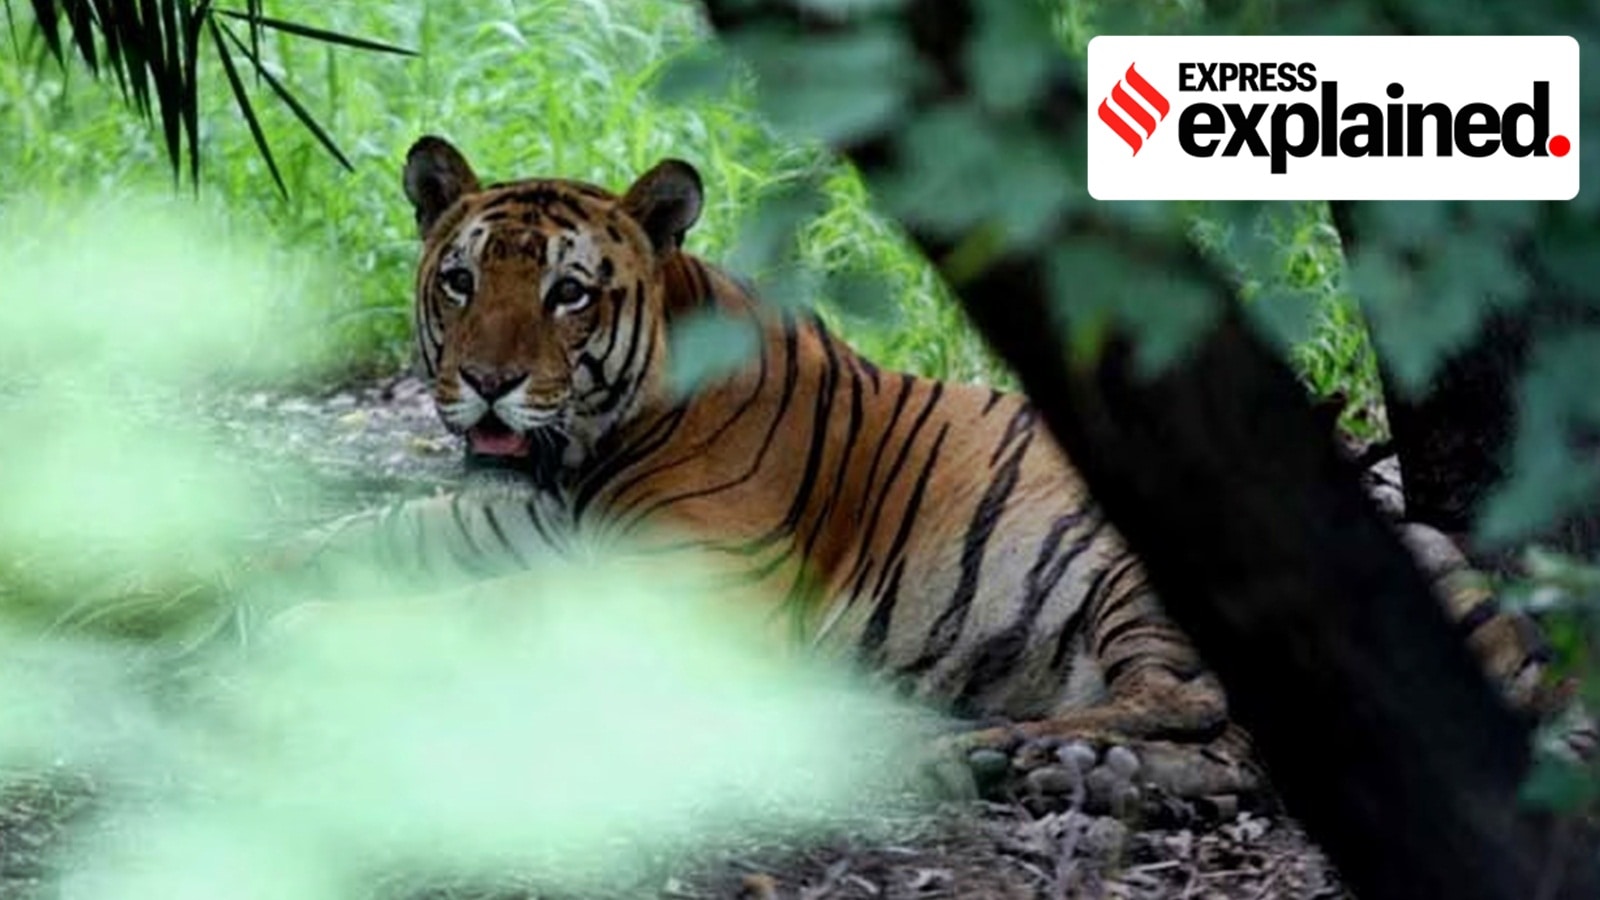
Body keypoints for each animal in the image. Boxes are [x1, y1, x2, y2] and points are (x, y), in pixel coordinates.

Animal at [277, 134, 1587, 816]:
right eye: (460, 281)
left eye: (568, 293)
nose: (488, 384)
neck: (580, 453)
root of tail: (1513, 624)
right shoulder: (519, 520)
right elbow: (357, 541)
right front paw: (247, 584)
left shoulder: (686, 578)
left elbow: (487, 611)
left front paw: (310, 637)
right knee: (1238, 752)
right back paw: (1076, 773)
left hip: (1149, 565)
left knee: (1198, 706)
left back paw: (973, 752)